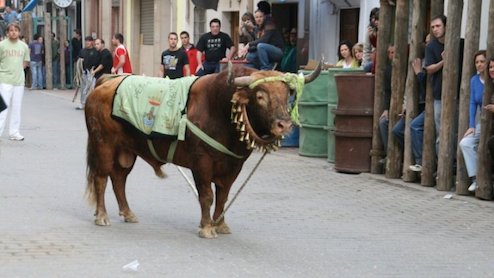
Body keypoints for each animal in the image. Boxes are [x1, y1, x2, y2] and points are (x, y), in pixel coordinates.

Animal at [85, 63, 322, 239]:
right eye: (260, 96)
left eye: (287, 94)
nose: (284, 125)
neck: (221, 109)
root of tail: (105, 83)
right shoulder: (202, 163)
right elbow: (207, 195)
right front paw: (207, 227)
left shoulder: (233, 167)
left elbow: (223, 196)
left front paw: (221, 224)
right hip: (103, 145)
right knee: (102, 178)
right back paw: (102, 216)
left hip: (127, 151)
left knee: (119, 179)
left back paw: (127, 213)